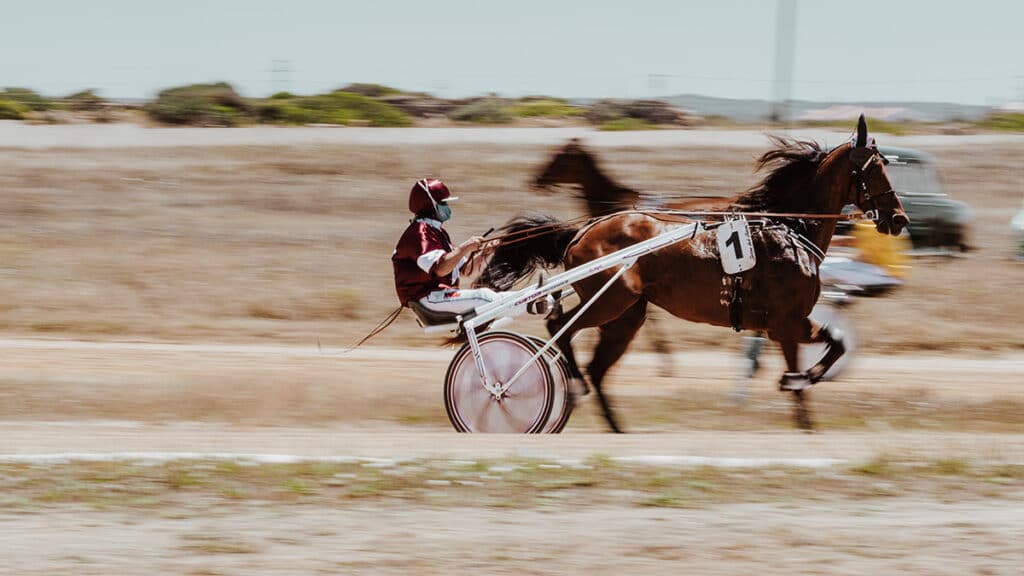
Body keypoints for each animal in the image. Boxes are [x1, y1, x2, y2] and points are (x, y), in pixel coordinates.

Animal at [475, 116, 909, 430]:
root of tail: (582, 230)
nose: (899, 219)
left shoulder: (785, 324)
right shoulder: (786, 323)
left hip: (627, 315)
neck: (787, 227)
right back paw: (569, 383)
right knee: (559, 327)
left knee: (596, 367)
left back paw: (614, 424)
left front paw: (806, 381)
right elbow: (818, 360)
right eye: (874, 169)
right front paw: (803, 387)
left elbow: (836, 343)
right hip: (610, 300)